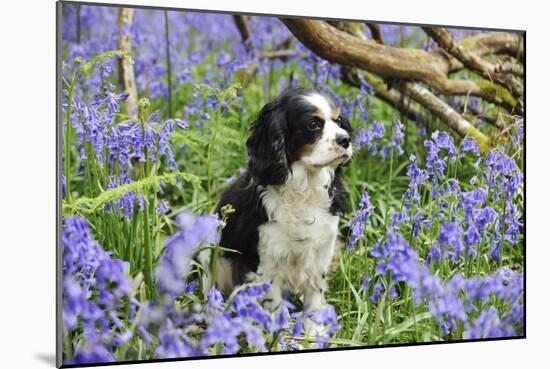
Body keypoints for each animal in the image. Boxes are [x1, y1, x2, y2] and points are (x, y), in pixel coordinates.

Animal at [201, 86, 356, 316]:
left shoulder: (321, 253)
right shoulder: (268, 261)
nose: (346, 140)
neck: (304, 188)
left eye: (338, 120)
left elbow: (314, 301)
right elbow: (273, 305)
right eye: (313, 124)